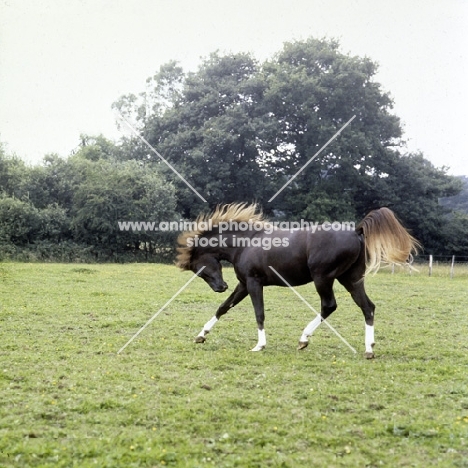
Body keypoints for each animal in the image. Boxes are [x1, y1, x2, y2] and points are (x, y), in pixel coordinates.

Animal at [176, 202, 420, 358]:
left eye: (199, 269)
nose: (220, 286)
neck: (245, 243)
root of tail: (356, 231)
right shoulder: (244, 284)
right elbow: (223, 307)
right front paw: (201, 335)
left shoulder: (254, 283)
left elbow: (259, 313)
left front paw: (259, 346)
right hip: (351, 279)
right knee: (367, 307)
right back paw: (368, 349)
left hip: (323, 278)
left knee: (329, 305)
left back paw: (304, 339)